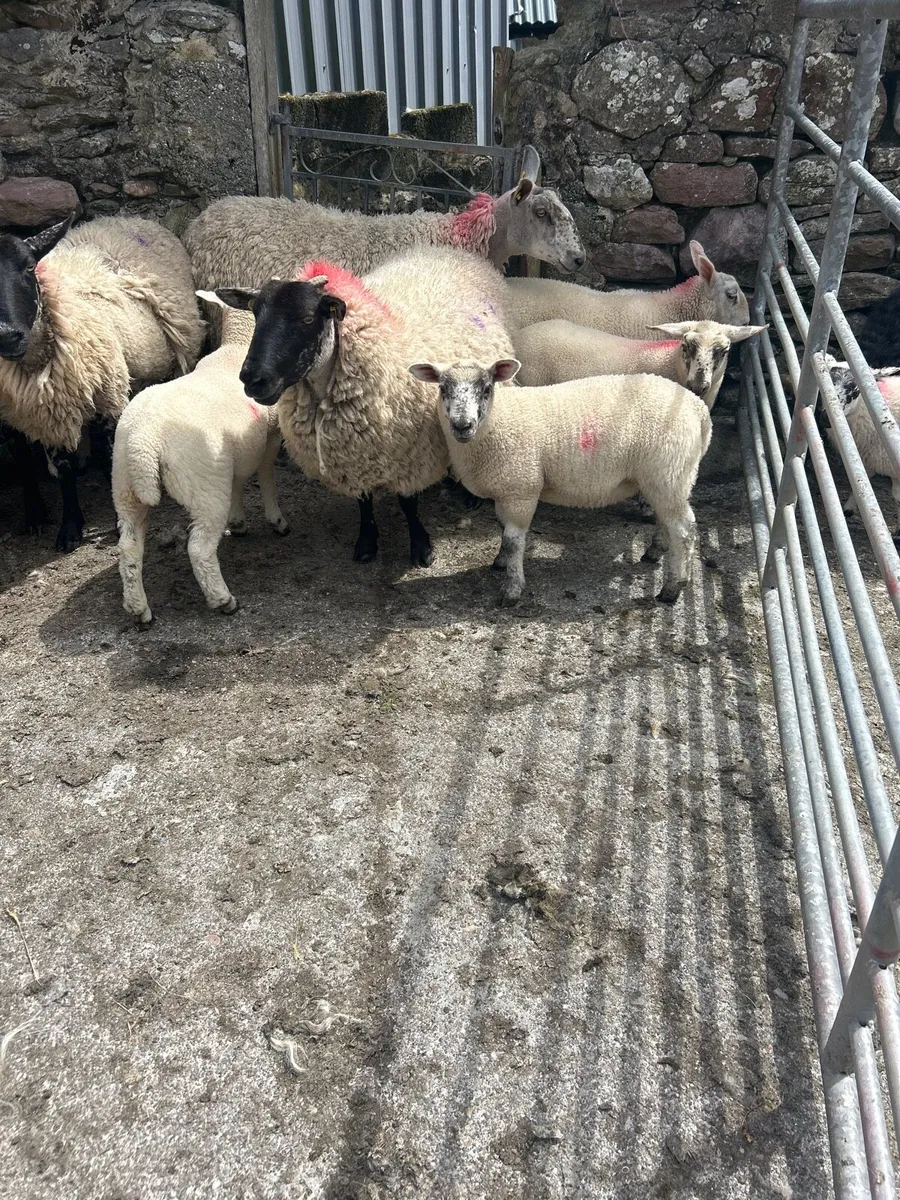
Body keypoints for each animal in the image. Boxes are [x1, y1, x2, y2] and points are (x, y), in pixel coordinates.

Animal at [0, 213, 204, 552]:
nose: (7, 336)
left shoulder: (105, 397)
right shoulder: (30, 411)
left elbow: (100, 456)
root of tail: (127, 218)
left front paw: (106, 520)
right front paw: (49, 519)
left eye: (30, 267)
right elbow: (40, 461)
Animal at [112, 299, 288, 626]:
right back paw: (223, 600)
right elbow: (266, 475)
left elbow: (238, 482)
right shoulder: (269, 437)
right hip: (203, 484)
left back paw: (139, 610)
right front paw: (276, 520)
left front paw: (238, 521)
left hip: (125, 485)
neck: (236, 346)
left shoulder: (232, 455)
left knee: (129, 546)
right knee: (200, 549)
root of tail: (144, 441)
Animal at [213, 247, 515, 565]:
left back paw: (472, 495)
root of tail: (451, 252)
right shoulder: (353, 454)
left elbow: (408, 503)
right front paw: (367, 542)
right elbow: (364, 501)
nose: (252, 379)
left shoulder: (409, 453)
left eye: (307, 318)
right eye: (256, 314)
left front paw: (421, 547)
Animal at [408, 358, 712, 606]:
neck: (498, 421)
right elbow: (502, 530)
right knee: (667, 520)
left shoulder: (522, 489)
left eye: (486, 389)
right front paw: (500, 562)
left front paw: (512, 590)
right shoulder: (508, 489)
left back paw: (672, 588)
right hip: (664, 478)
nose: (462, 426)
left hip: (668, 472)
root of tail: (697, 408)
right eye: (443, 389)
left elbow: (513, 540)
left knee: (683, 530)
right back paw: (654, 552)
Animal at [825, 360, 900, 542]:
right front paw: (847, 510)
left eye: (856, 390)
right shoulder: (866, 459)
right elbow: (861, 483)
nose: (824, 418)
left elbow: (897, 498)